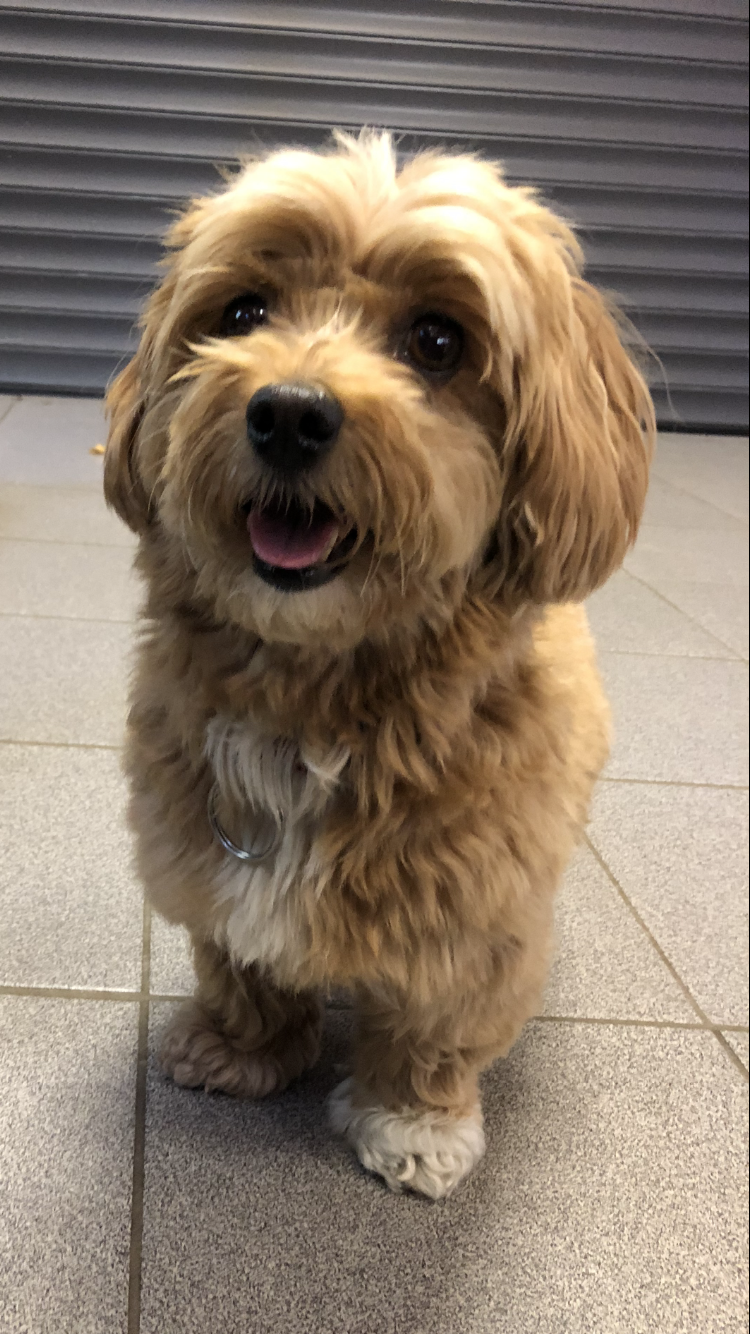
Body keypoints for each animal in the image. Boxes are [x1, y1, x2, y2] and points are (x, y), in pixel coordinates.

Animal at [104, 130, 654, 1199]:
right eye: (244, 312)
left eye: (437, 342)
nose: (288, 412)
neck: (318, 697)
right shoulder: (198, 854)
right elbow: (239, 964)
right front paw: (241, 1049)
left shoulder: (474, 920)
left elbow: (433, 1030)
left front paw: (414, 1123)